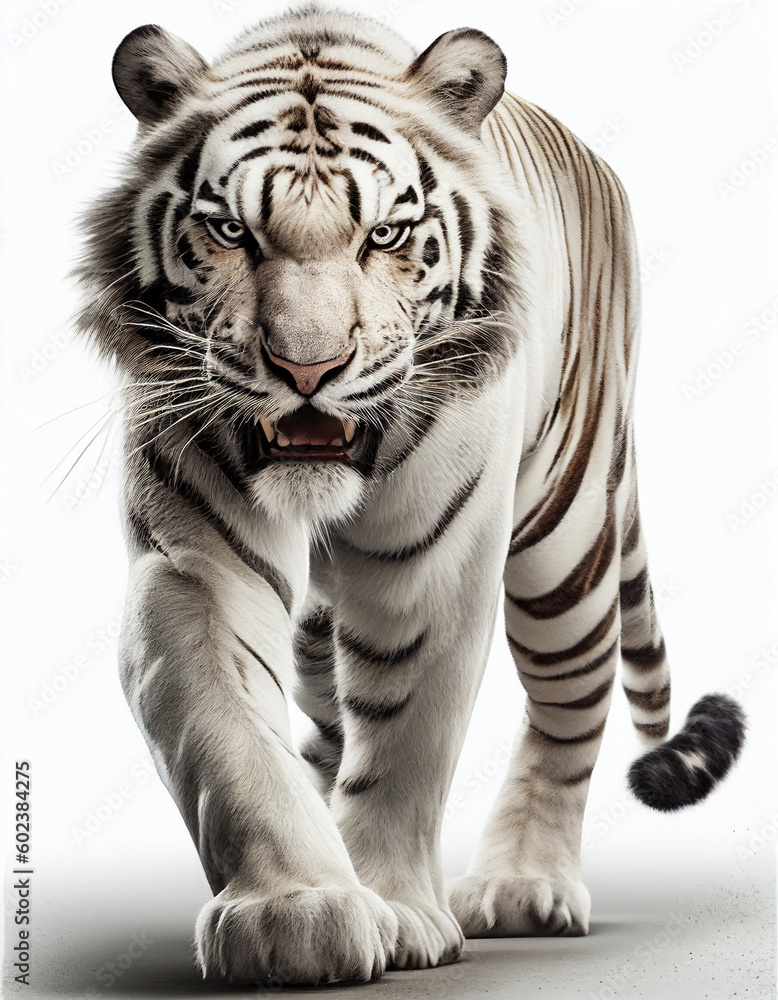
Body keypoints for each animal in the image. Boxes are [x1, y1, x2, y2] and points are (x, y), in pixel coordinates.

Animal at [75, 2, 746, 986]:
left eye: (383, 237)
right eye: (233, 233)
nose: (307, 369)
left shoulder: (432, 560)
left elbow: (408, 736)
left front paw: (397, 909)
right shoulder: (196, 559)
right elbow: (229, 725)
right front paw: (296, 911)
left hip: (569, 537)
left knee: (570, 705)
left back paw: (522, 886)